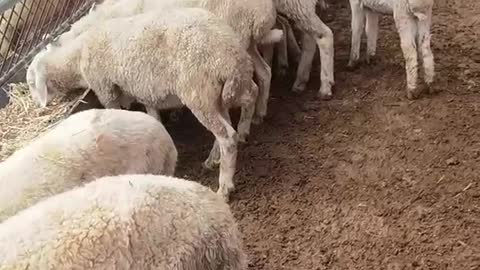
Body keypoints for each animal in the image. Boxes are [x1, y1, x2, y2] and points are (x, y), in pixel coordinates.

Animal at [25, 7, 258, 200]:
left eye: (31, 83)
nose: (37, 105)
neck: (78, 55)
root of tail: (231, 56)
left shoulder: (105, 89)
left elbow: (115, 109)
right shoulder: (143, 89)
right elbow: (152, 114)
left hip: (198, 92)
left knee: (227, 136)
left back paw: (225, 185)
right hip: (217, 93)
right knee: (246, 101)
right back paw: (223, 149)